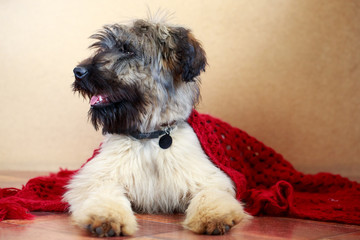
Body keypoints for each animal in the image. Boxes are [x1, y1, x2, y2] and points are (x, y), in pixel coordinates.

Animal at [63, 17, 246, 237]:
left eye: (127, 50)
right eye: (103, 47)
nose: (78, 72)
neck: (150, 138)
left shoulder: (211, 179)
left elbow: (210, 194)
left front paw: (215, 217)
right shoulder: (96, 178)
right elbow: (104, 194)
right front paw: (106, 217)